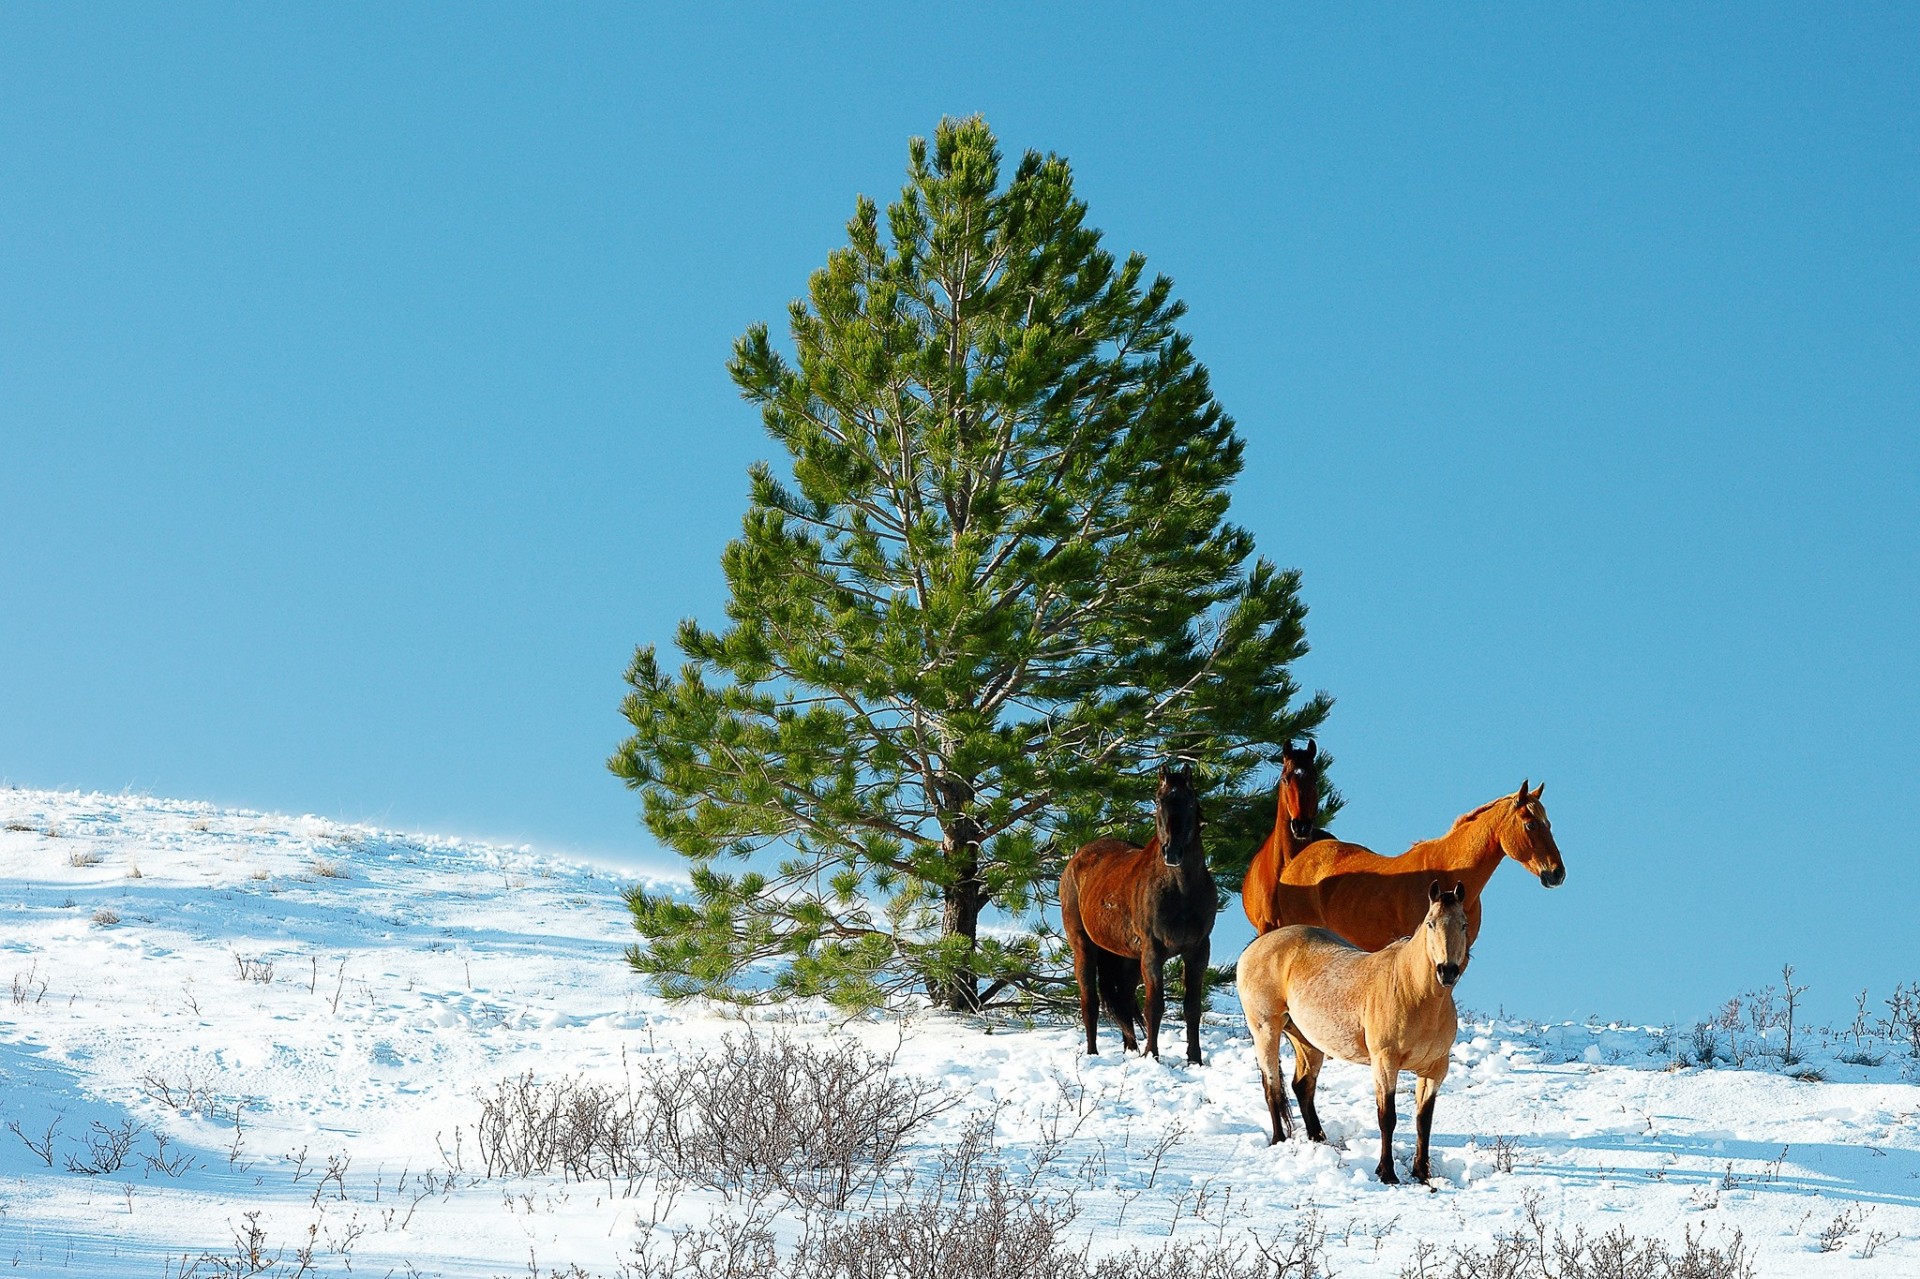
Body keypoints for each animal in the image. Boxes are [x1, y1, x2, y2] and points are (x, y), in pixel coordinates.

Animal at [1059, 766, 1216, 1064]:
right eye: (1158, 801)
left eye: (1189, 801)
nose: (1172, 852)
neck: (1180, 891)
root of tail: (1078, 858)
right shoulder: (1152, 952)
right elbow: (1154, 1005)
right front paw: (1152, 1055)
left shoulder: (1198, 951)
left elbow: (1192, 1007)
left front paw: (1195, 1060)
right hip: (1084, 945)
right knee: (1090, 1001)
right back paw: (1093, 1053)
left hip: (1127, 957)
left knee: (1122, 999)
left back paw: (1130, 1049)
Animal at [1236, 880, 1471, 1184]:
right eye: (1431, 923)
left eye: (1464, 924)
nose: (1447, 971)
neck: (1413, 992)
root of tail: (1255, 946)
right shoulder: (1385, 1062)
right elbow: (1387, 1117)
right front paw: (1387, 1173)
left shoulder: (1435, 1069)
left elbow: (1424, 1121)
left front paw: (1422, 1174)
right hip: (1265, 1029)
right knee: (1272, 1086)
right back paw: (1279, 1141)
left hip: (1307, 1040)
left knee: (1302, 1086)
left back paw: (1318, 1140)